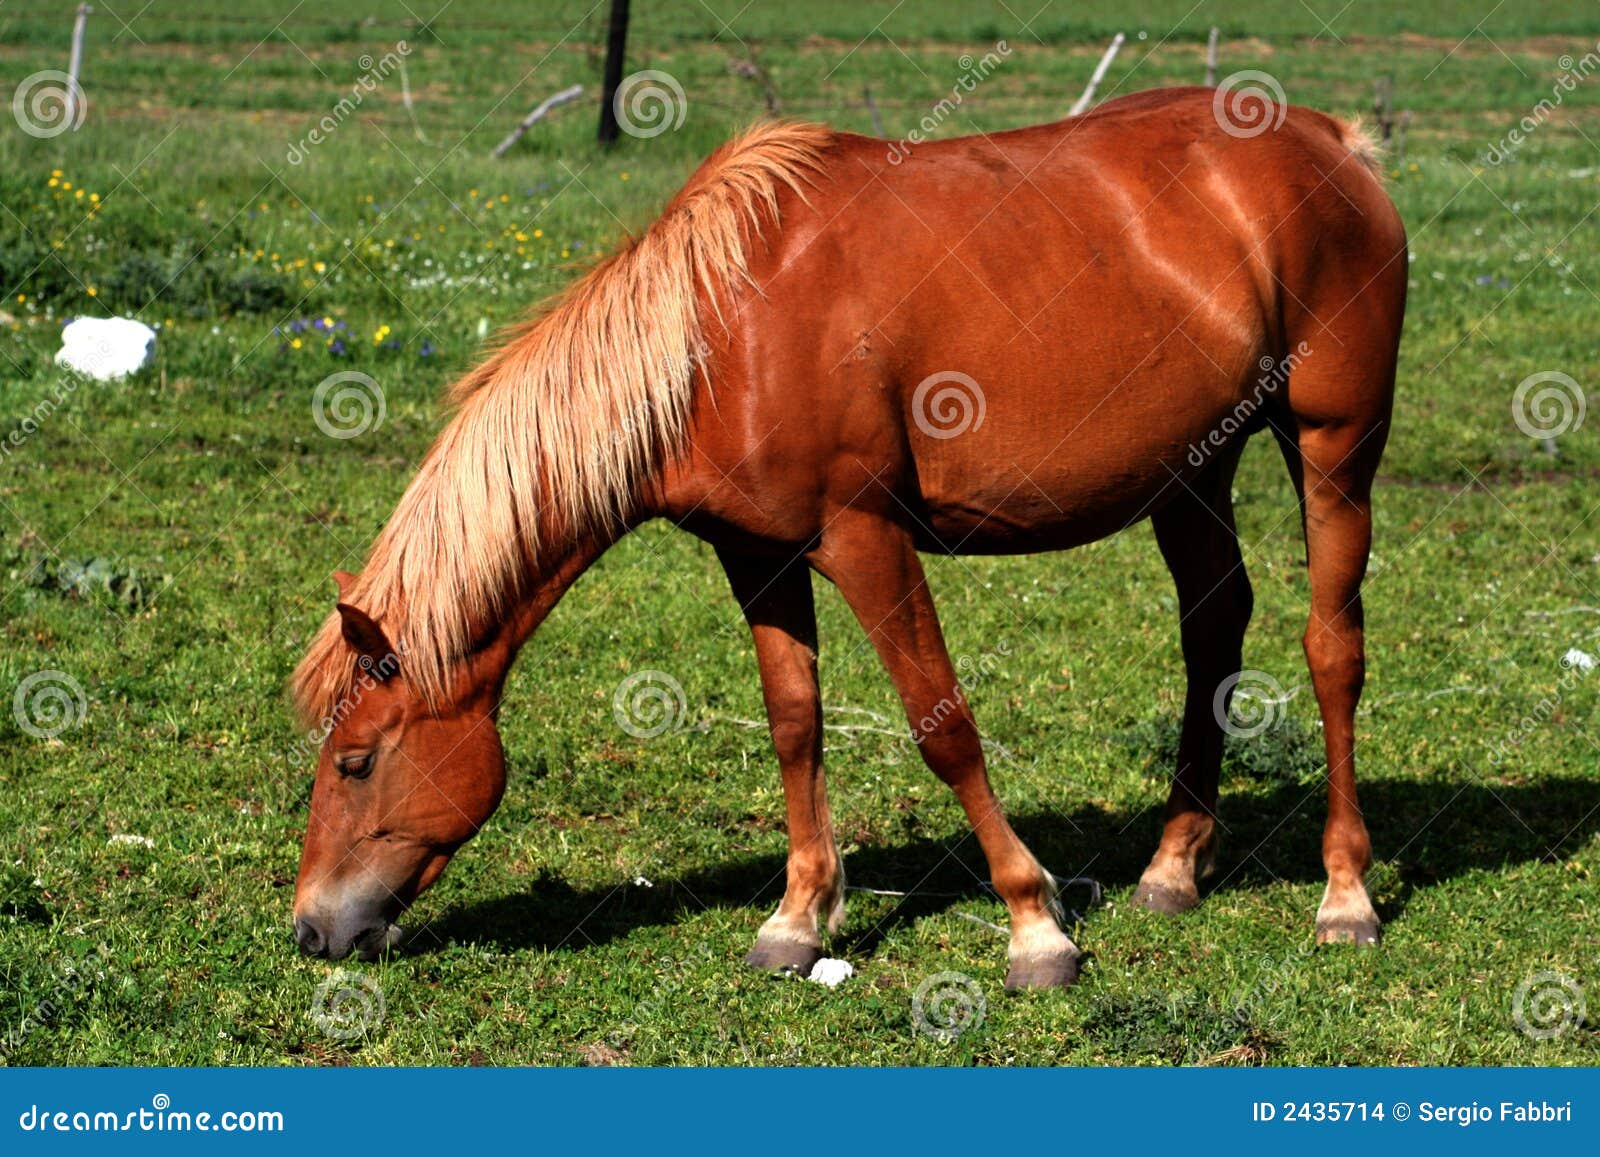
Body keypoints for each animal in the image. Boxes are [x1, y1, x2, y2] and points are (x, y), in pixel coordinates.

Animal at [289, 87, 1407, 990]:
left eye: (355, 760)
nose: (310, 931)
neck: (720, 332)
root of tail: (1331, 141)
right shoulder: (758, 554)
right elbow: (795, 722)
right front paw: (796, 918)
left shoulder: (864, 538)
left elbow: (940, 725)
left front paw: (1034, 925)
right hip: (1192, 469)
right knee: (1213, 626)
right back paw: (1173, 866)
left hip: (1333, 445)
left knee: (1332, 648)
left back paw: (1344, 894)